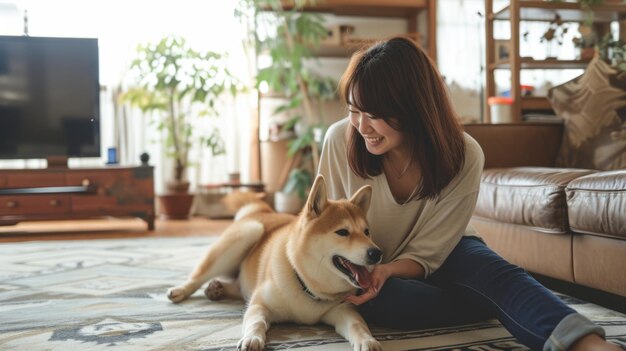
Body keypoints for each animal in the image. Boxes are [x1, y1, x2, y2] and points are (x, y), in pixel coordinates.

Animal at [166, 177, 380, 350]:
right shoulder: (259, 303)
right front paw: (252, 338)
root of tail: (265, 210)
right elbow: (257, 322)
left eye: (367, 232)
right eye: (342, 232)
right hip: (248, 234)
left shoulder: (343, 310)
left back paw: (217, 289)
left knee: (238, 285)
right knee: (198, 276)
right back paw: (181, 290)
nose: (377, 253)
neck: (306, 285)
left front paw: (367, 340)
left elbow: (357, 325)